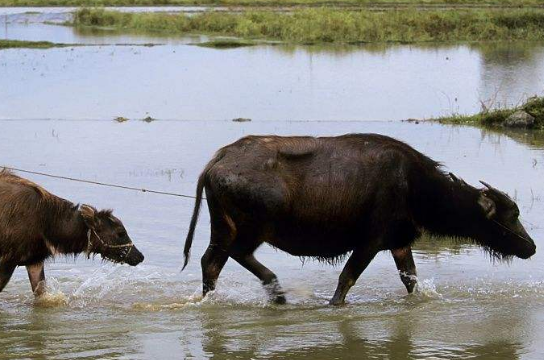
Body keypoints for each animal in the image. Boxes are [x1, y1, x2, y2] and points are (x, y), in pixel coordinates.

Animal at [182, 134, 536, 306]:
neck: (414, 184)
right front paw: (334, 304)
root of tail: (218, 161)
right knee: (227, 257)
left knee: (212, 261)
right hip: (247, 230)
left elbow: (411, 279)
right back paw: (275, 292)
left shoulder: (399, 244)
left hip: (224, 228)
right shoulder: (370, 242)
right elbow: (347, 279)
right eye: (513, 214)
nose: (531, 247)